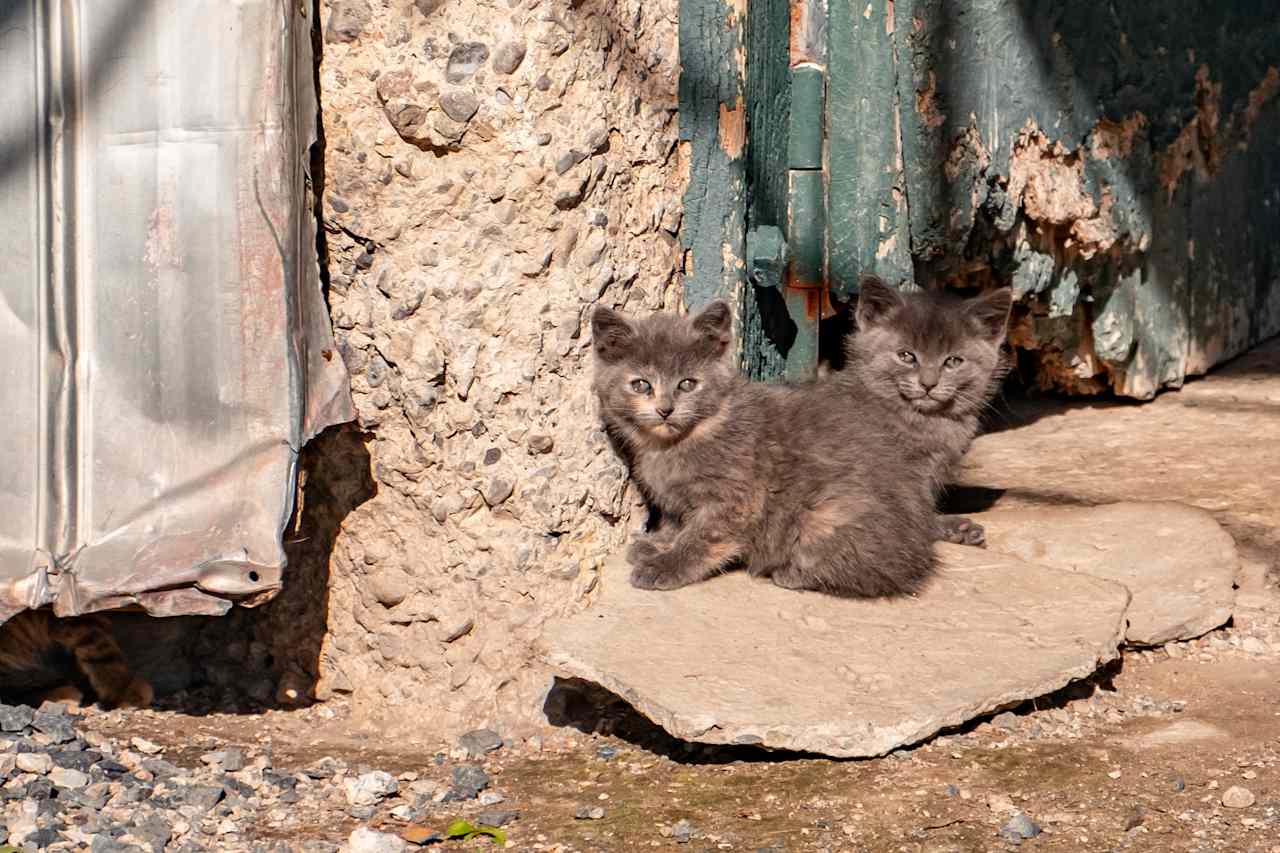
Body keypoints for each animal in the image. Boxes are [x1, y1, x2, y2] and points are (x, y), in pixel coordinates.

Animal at [588, 277, 1008, 591]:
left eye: (687, 384)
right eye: (641, 385)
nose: (665, 409)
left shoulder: (735, 497)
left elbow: (705, 536)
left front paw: (667, 564)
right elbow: (680, 522)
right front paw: (658, 543)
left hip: (824, 515)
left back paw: (790, 572)